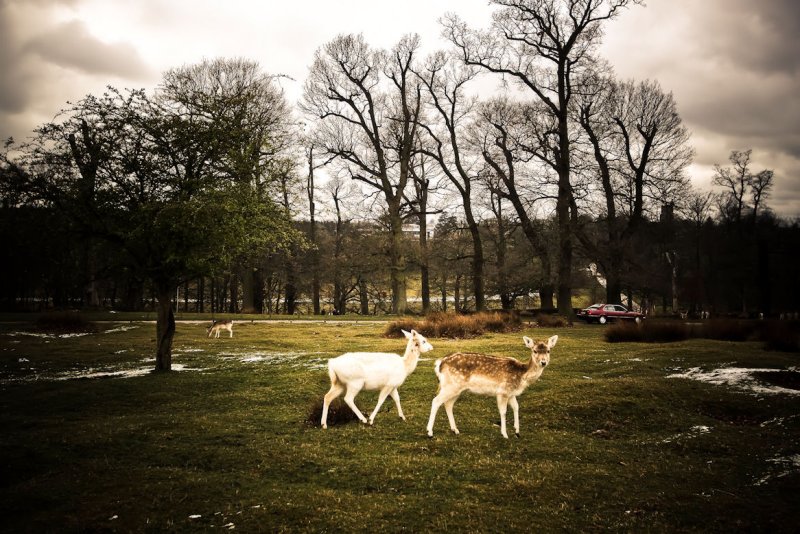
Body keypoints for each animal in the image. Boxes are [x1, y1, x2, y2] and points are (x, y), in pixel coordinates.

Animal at [424, 338, 556, 442]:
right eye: (535, 351)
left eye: (548, 350)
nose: (543, 362)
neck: (521, 376)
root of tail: (439, 364)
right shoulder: (503, 391)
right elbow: (503, 411)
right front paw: (505, 434)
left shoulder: (511, 393)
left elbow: (516, 407)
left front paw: (517, 432)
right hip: (451, 385)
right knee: (436, 401)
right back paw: (430, 432)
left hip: (456, 389)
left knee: (448, 404)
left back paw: (455, 430)